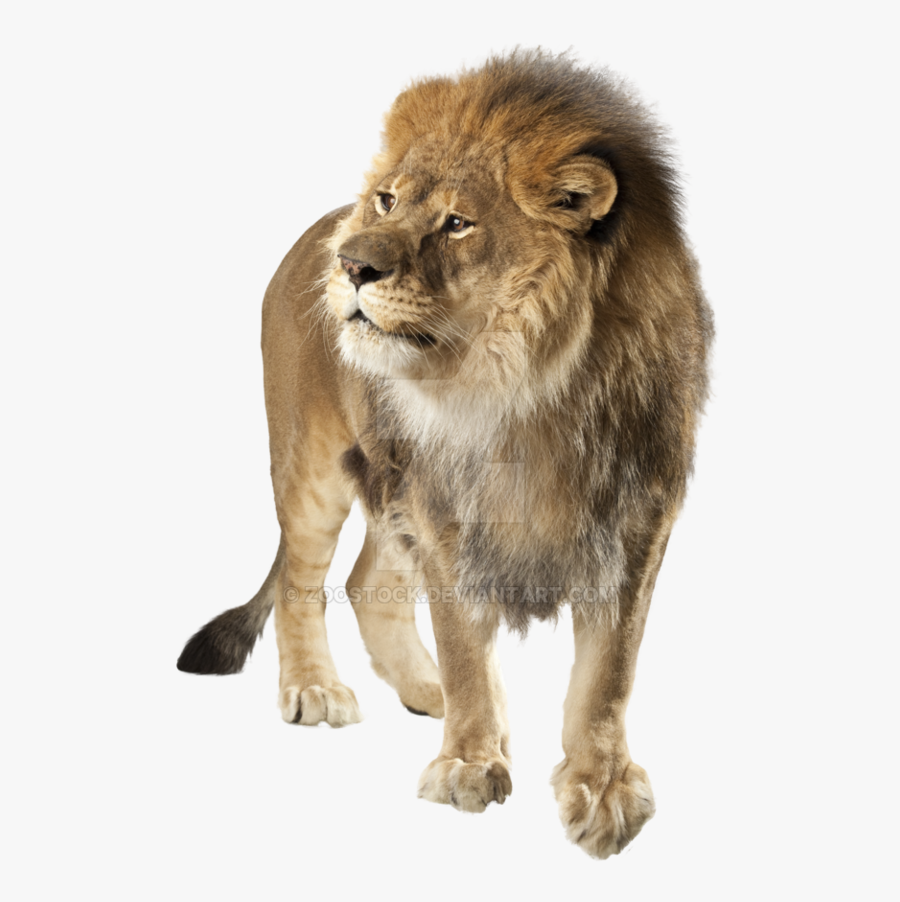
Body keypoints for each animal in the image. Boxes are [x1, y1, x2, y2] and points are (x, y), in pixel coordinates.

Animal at [177, 50, 713, 859]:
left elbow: (608, 673)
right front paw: (469, 764)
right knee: (305, 582)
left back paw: (428, 693)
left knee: (368, 582)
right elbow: (463, 642)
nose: (351, 265)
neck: (523, 393)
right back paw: (315, 688)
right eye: (388, 202)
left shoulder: (634, 521)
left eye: (458, 223)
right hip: (312, 465)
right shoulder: (446, 509)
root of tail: (316, 228)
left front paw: (603, 789)